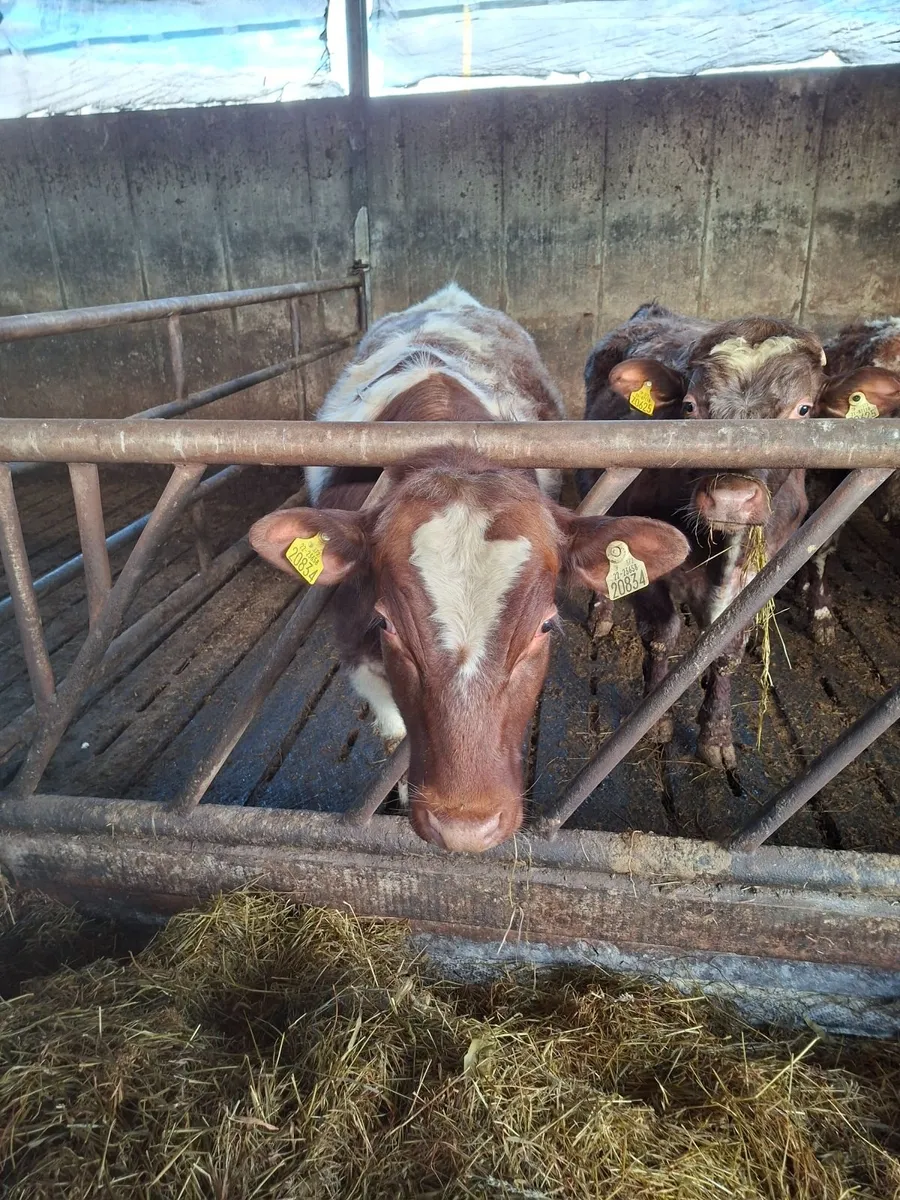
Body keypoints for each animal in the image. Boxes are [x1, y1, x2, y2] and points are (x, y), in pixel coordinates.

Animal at [580, 301, 826, 770]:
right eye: (690, 407)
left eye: (803, 410)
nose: (731, 497)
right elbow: (661, 636)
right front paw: (655, 720)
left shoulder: (760, 576)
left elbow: (724, 652)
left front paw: (716, 732)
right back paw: (601, 613)